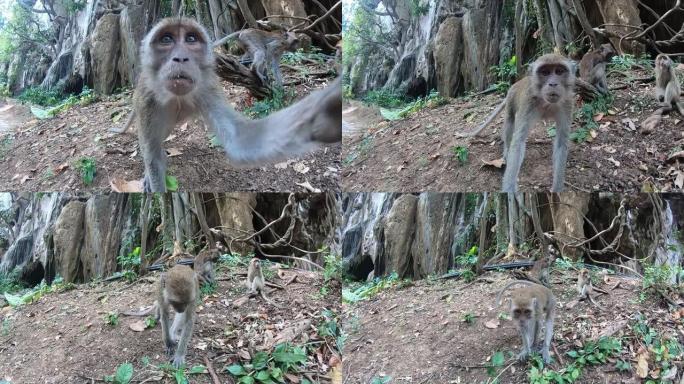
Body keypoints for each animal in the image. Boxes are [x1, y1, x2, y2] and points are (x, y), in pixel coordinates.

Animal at [456, 54, 576, 192]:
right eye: (545, 72)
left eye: (559, 71)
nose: (553, 83)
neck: (545, 102)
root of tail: (518, 82)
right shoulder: (528, 103)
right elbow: (518, 141)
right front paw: (509, 190)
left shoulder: (567, 103)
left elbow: (562, 143)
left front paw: (557, 189)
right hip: (511, 99)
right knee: (510, 122)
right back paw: (506, 153)